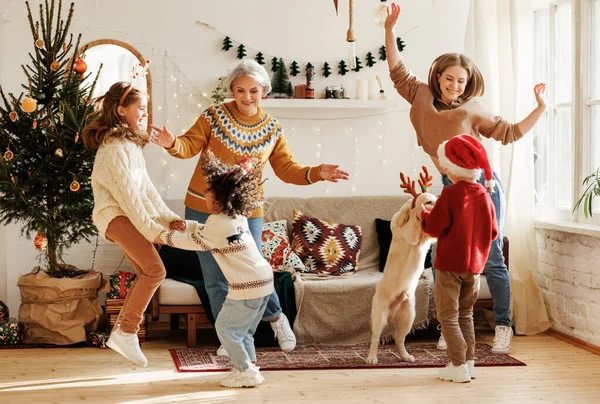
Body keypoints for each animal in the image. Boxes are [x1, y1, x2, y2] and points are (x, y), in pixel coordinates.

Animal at [366, 167, 436, 362]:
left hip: (408, 316)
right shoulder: (409, 233)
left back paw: (405, 356)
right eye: (429, 201)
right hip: (379, 316)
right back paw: (372, 358)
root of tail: (392, 312)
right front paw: (415, 209)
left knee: (399, 338)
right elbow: (412, 218)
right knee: (375, 337)